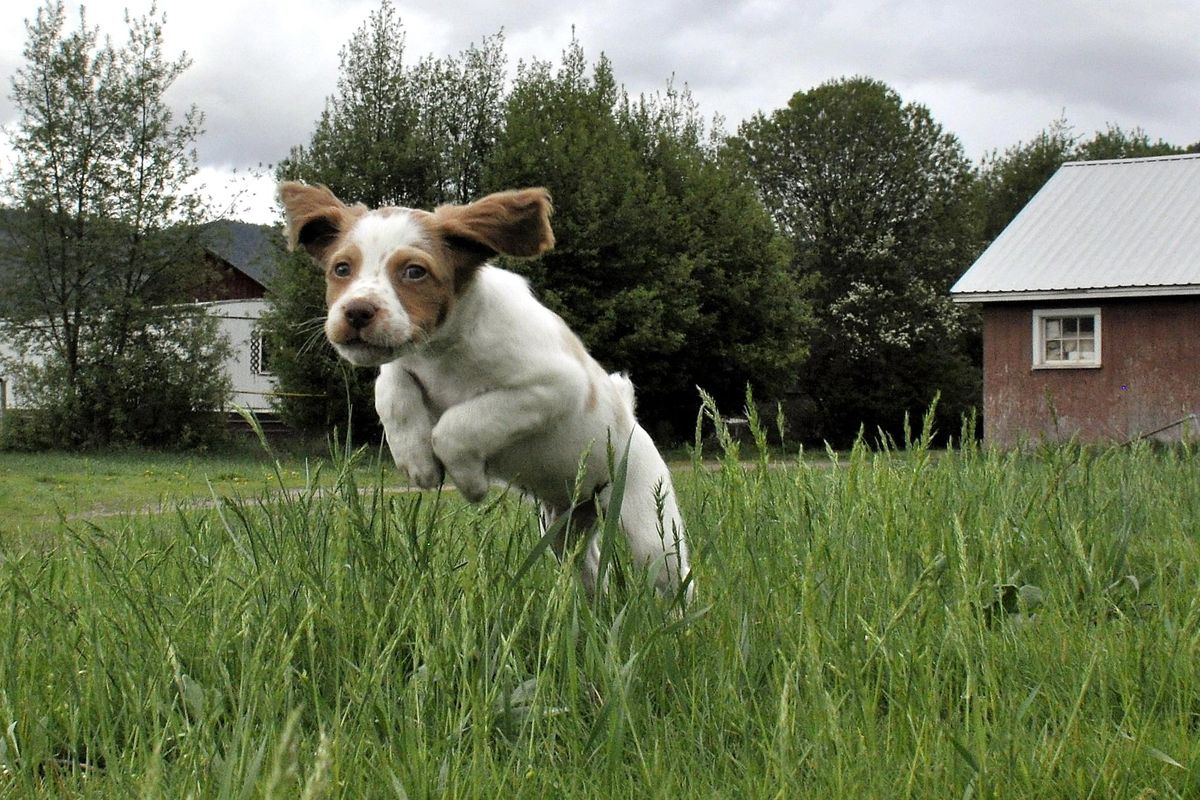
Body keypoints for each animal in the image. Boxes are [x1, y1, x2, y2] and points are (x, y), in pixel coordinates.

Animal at [280, 183, 696, 599]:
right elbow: (391, 385)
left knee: (675, 582)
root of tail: (632, 422)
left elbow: (457, 425)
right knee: (592, 573)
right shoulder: (405, 362)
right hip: (564, 528)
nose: (356, 312)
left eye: (414, 272)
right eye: (341, 269)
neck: (443, 352)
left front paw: (471, 481)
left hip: (651, 530)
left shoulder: (556, 385)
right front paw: (416, 459)